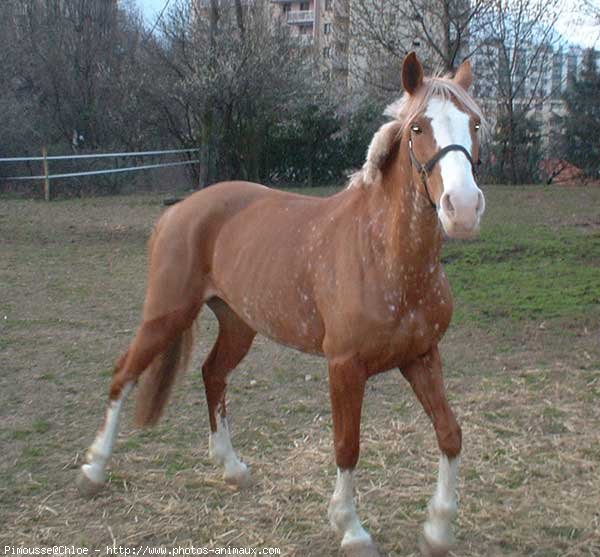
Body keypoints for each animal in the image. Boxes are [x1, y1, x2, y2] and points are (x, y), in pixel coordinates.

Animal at [76, 53, 488, 556]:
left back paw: (232, 468)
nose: (463, 208)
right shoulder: (344, 366)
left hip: (238, 324)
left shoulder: (422, 356)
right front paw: (350, 528)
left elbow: (450, 434)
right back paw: (94, 470)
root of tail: (179, 210)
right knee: (124, 376)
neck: (386, 256)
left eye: (474, 123)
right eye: (417, 128)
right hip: (166, 315)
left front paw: (438, 529)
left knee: (212, 374)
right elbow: (347, 445)